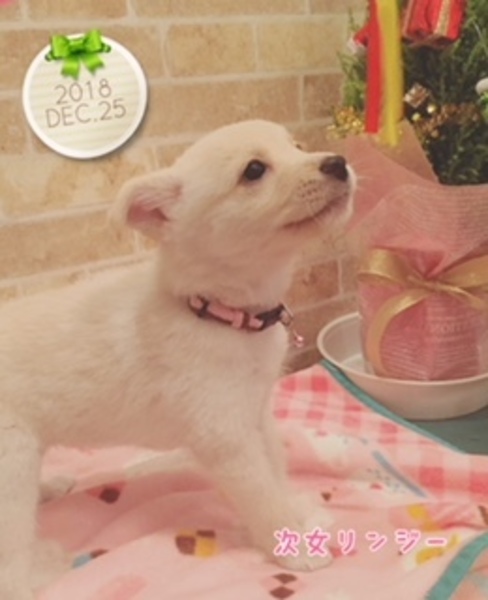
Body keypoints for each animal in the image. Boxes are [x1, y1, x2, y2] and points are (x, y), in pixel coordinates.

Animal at [0, 119, 354, 599]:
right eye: (254, 170)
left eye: (297, 146)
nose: (337, 162)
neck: (216, 314)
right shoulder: (226, 439)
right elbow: (262, 493)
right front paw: (290, 544)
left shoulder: (256, 414)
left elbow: (277, 470)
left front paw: (297, 515)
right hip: (12, 463)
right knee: (10, 562)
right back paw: (43, 568)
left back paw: (51, 487)